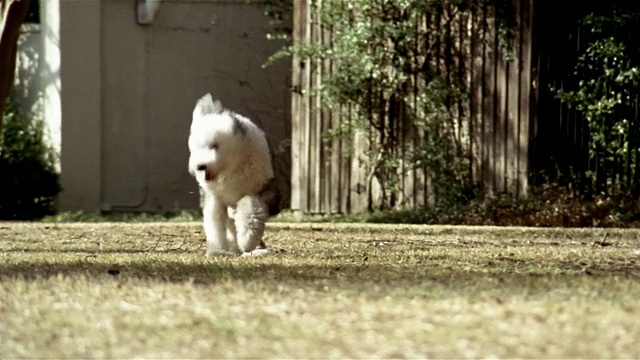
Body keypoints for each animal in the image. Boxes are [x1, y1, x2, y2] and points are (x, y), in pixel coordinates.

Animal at [186, 93, 278, 256]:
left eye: (214, 145)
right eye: (196, 147)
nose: (200, 166)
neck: (232, 166)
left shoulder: (259, 189)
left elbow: (251, 208)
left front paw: (247, 240)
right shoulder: (215, 198)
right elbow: (215, 224)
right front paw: (218, 250)